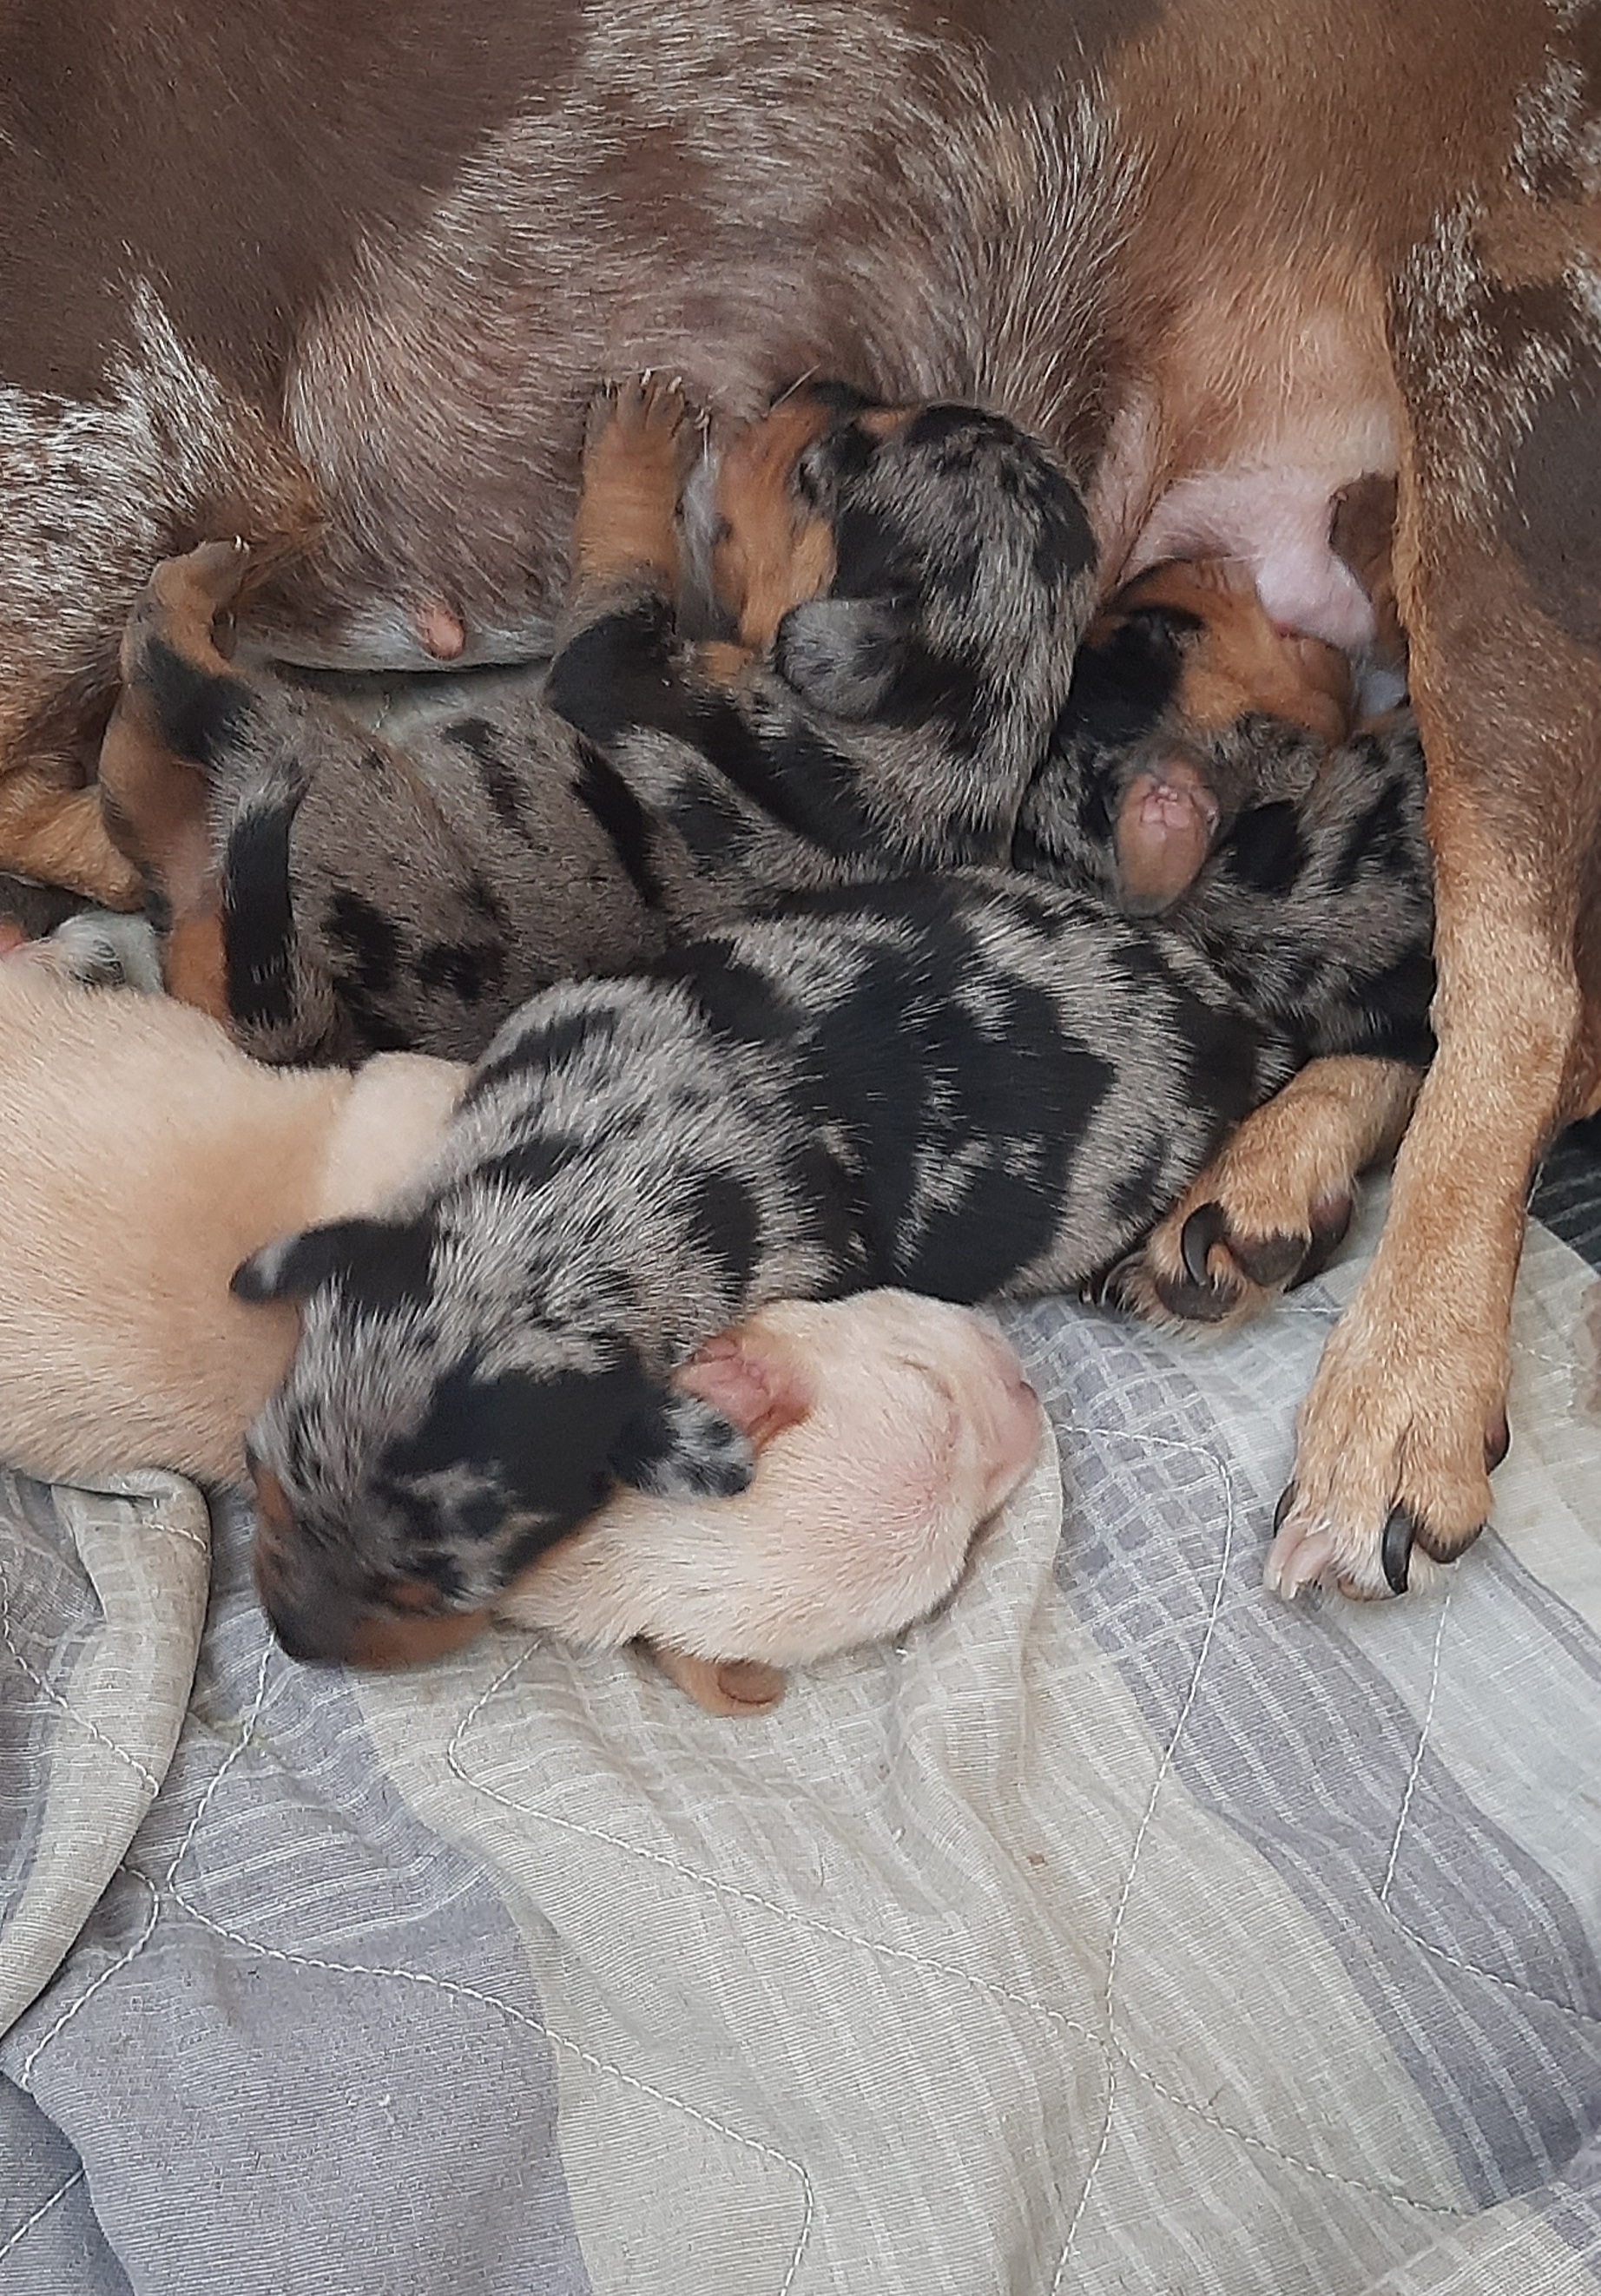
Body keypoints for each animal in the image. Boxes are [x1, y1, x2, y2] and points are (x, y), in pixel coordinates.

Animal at [3, 0, 1598, 1607]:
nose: (810, 386)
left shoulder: (134, 479)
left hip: (1499, 465)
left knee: (1523, 990)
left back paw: (1399, 1386)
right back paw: (1267, 1179)